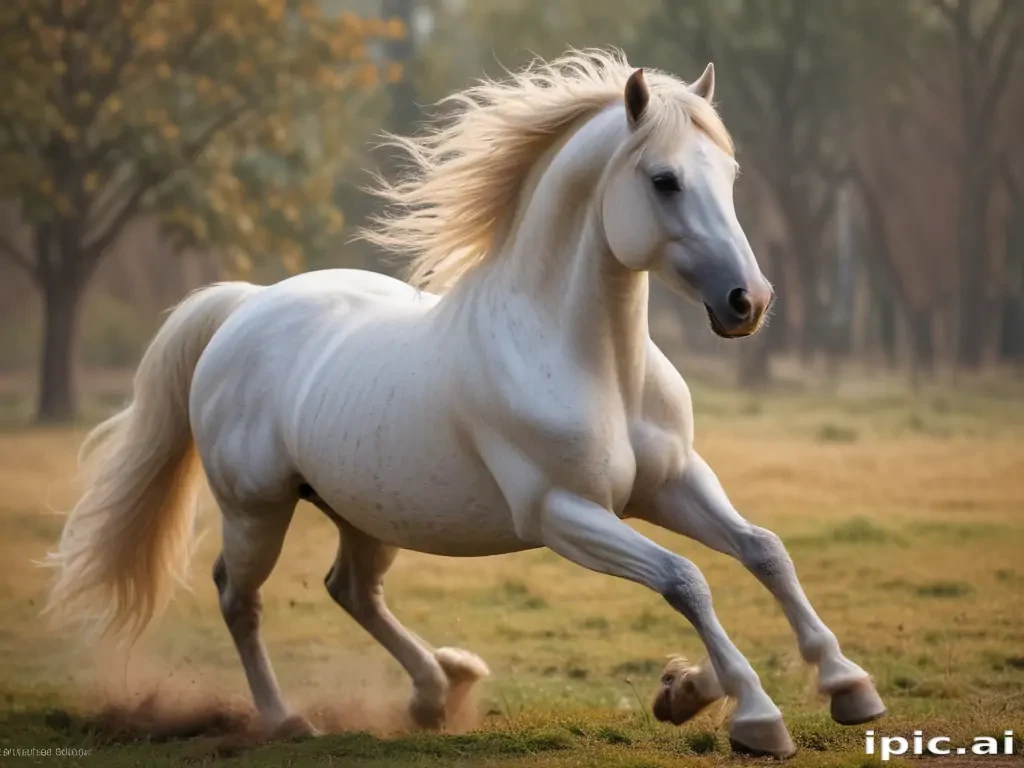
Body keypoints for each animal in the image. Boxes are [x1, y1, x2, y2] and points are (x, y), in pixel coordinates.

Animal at [45, 50, 885, 758]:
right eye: (664, 180)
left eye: (731, 176)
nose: (749, 302)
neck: (589, 363)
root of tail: (245, 305)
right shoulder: (564, 514)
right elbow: (686, 579)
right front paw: (753, 713)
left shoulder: (671, 483)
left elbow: (762, 551)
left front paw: (827, 686)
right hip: (257, 509)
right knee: (238, 598)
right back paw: (290, 720)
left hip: (362, 509)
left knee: (352, 591)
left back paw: (438, 690)